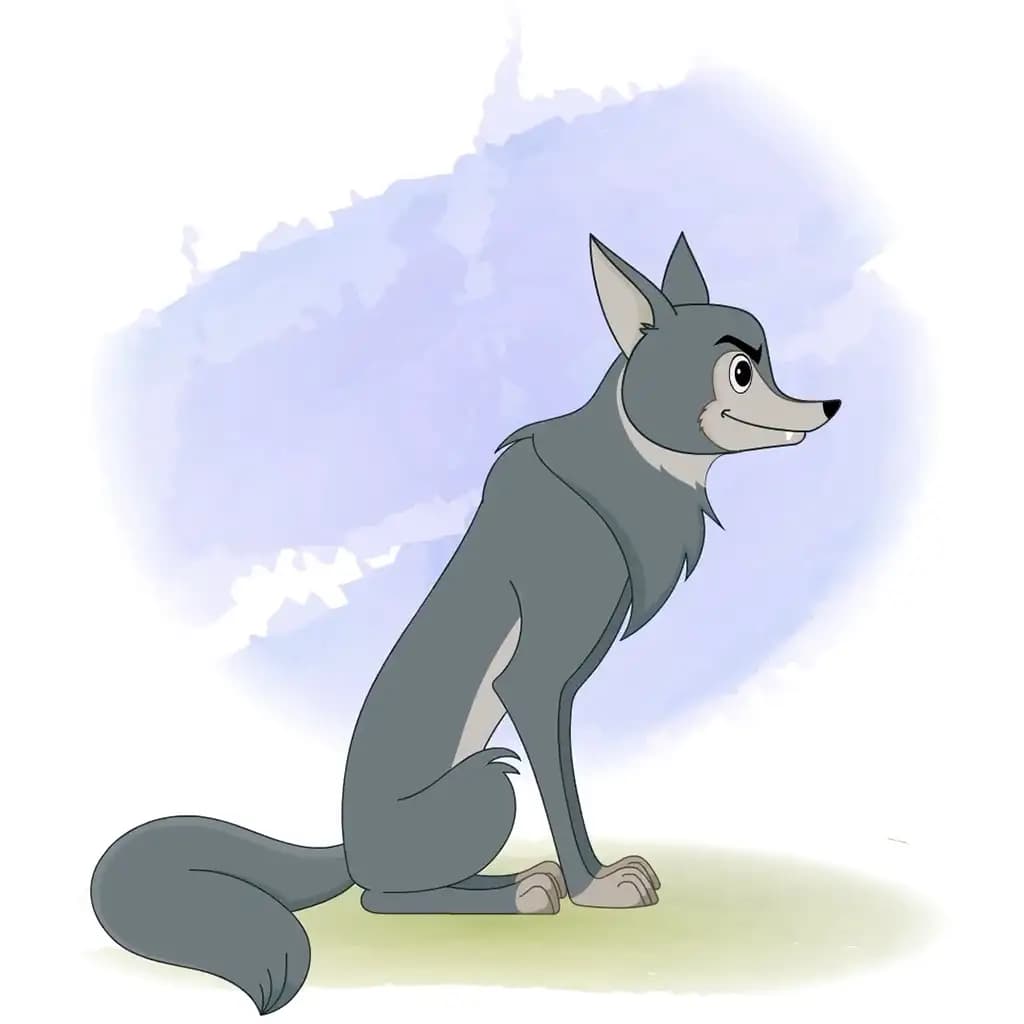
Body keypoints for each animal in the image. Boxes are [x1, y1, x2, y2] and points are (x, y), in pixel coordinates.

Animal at [91, 231, 840, 1013]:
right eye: (741, 372)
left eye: (768, 361)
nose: (830, 404)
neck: (616, 474)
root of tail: (347, 844)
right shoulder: (534, 685)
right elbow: (562, 796)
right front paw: (596, 887)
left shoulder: (562, 687)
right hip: (488, 787)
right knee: (382, 897)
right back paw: (520, 893)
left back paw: (516, 883)